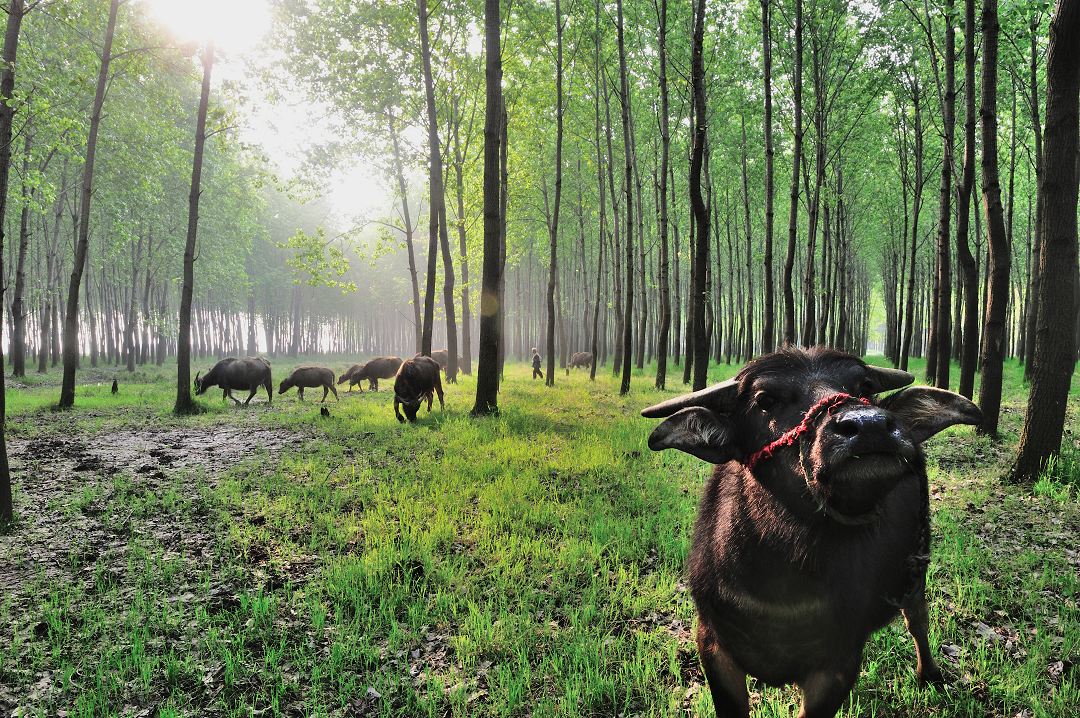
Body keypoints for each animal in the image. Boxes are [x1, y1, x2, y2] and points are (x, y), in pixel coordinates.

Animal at [639, 345, 989, 712]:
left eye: (865, 386)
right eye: (765, 399)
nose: (870, 425)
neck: (784, 586)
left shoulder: (839, 662)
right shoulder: (713, 645)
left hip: (915, 564)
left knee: (917, 617)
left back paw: (930, 675)